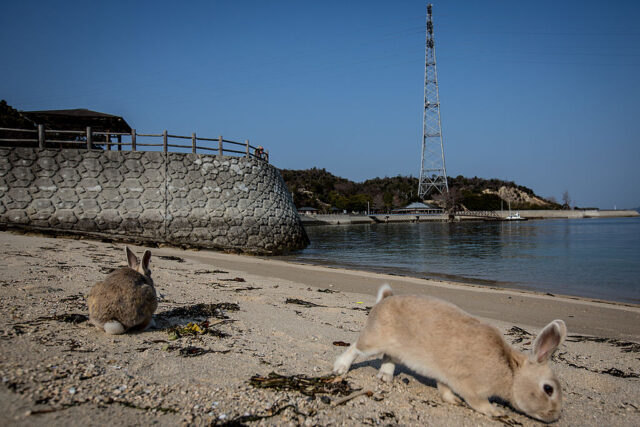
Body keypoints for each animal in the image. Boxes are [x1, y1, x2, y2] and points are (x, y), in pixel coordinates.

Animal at [332, 286, 568, 422]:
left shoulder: (445, 375)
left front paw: (452, 401)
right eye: (548, 389)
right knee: (355, 347)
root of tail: (384, 300)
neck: (511, 374)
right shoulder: (469, 386)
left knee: (388, 358)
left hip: (397, 349)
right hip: (373, 341)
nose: (555, 416)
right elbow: (477, 402)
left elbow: (444, 390)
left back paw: (385, 377)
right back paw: (340, 368)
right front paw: (495, 412)